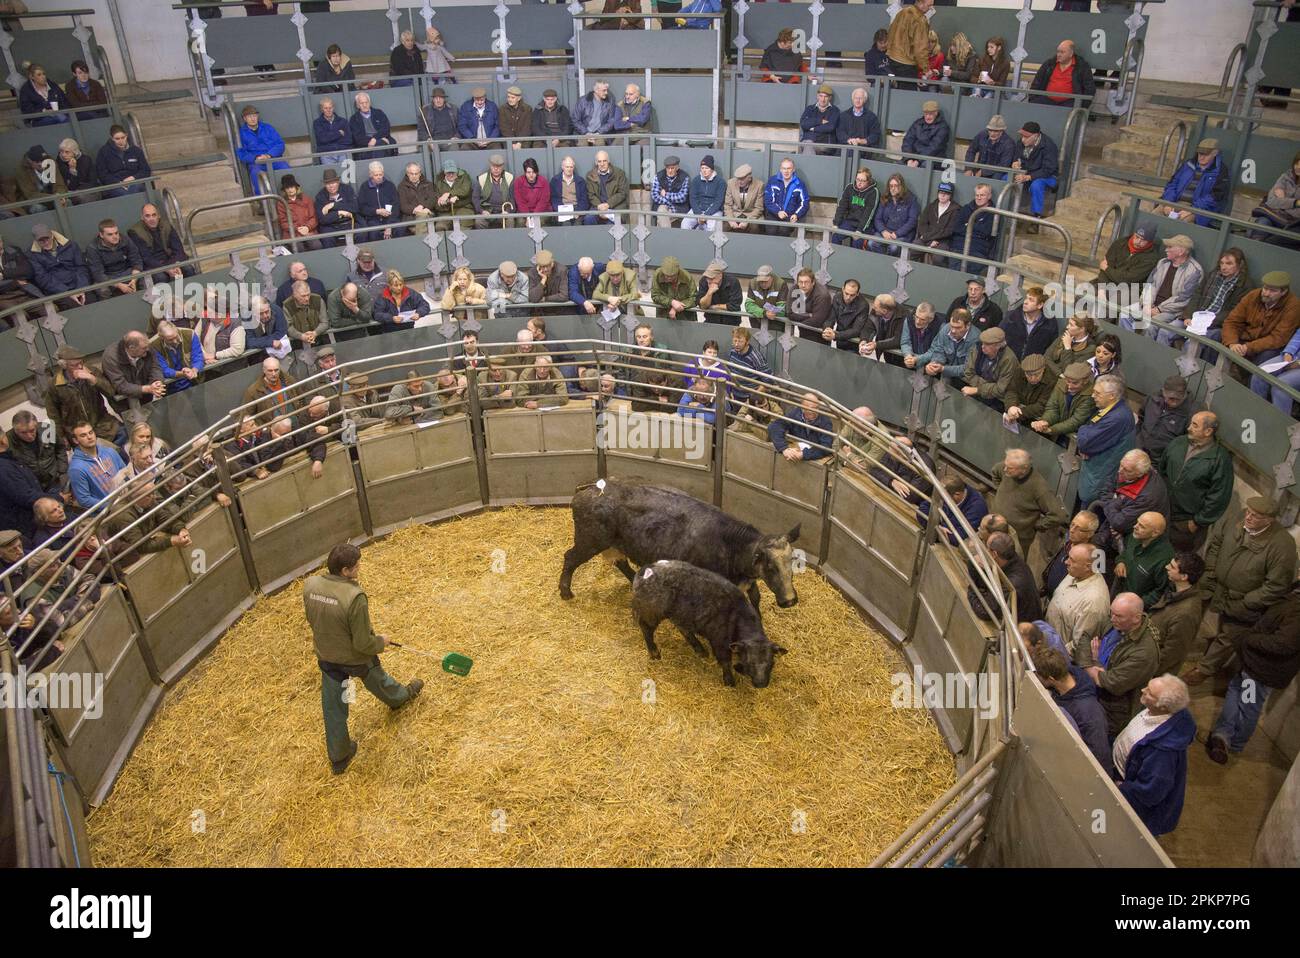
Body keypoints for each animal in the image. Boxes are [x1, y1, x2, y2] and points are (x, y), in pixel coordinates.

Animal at [558, 477, 800, 614]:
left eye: (792, 561)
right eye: (770, 566)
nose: (790, 600)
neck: (730, 545)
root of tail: (593, 486)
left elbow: (756, 598)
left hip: (613, 544)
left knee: (621, 562)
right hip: (589, 541)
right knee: (570, 558)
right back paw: (565, 591)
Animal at [630, 560, 787, 687]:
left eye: (771, 663)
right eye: (750, 662)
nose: (761, 684)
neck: (737, 616)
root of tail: (647, 570)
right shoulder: (720, 642)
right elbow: (725, 662)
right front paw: (729, 681)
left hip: (679, 613)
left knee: (683, 629)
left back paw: (699, 649)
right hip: (651, 612)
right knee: (646, 629)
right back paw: (654, 652)